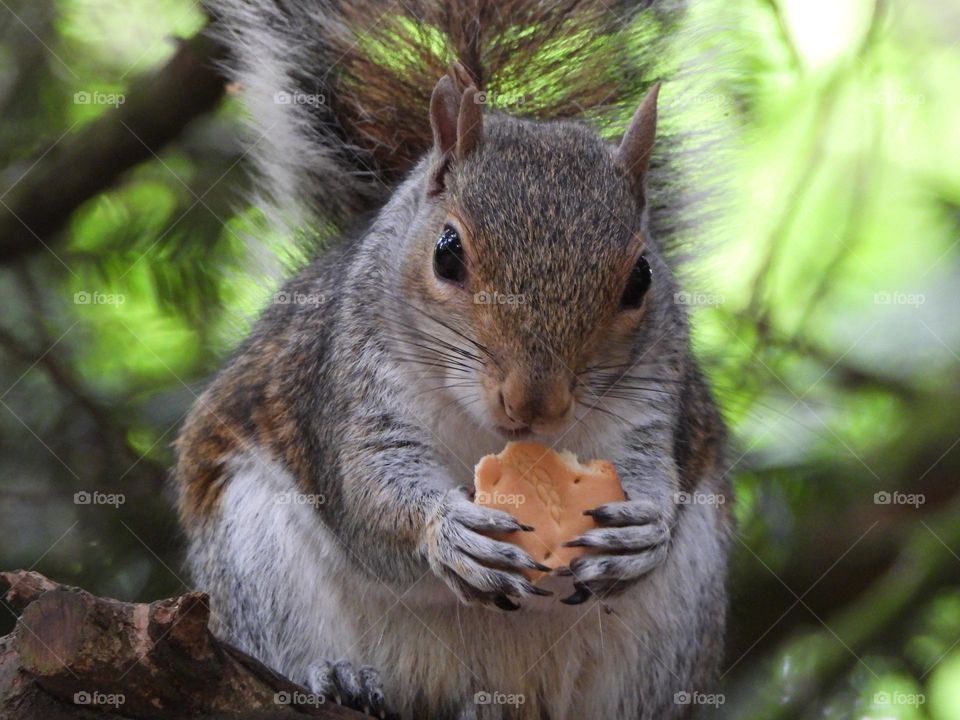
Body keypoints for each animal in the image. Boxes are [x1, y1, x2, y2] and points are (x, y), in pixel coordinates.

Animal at [174, 1, 732, 718]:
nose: (534, 402)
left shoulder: (652, 397)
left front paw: (645, 530)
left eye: (641, 278)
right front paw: (447, 532)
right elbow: (368, 497)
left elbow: (651, 471)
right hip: (254, 555)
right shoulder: (355, 386)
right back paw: (340, 678)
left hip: (676, 623)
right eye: (447, 253)